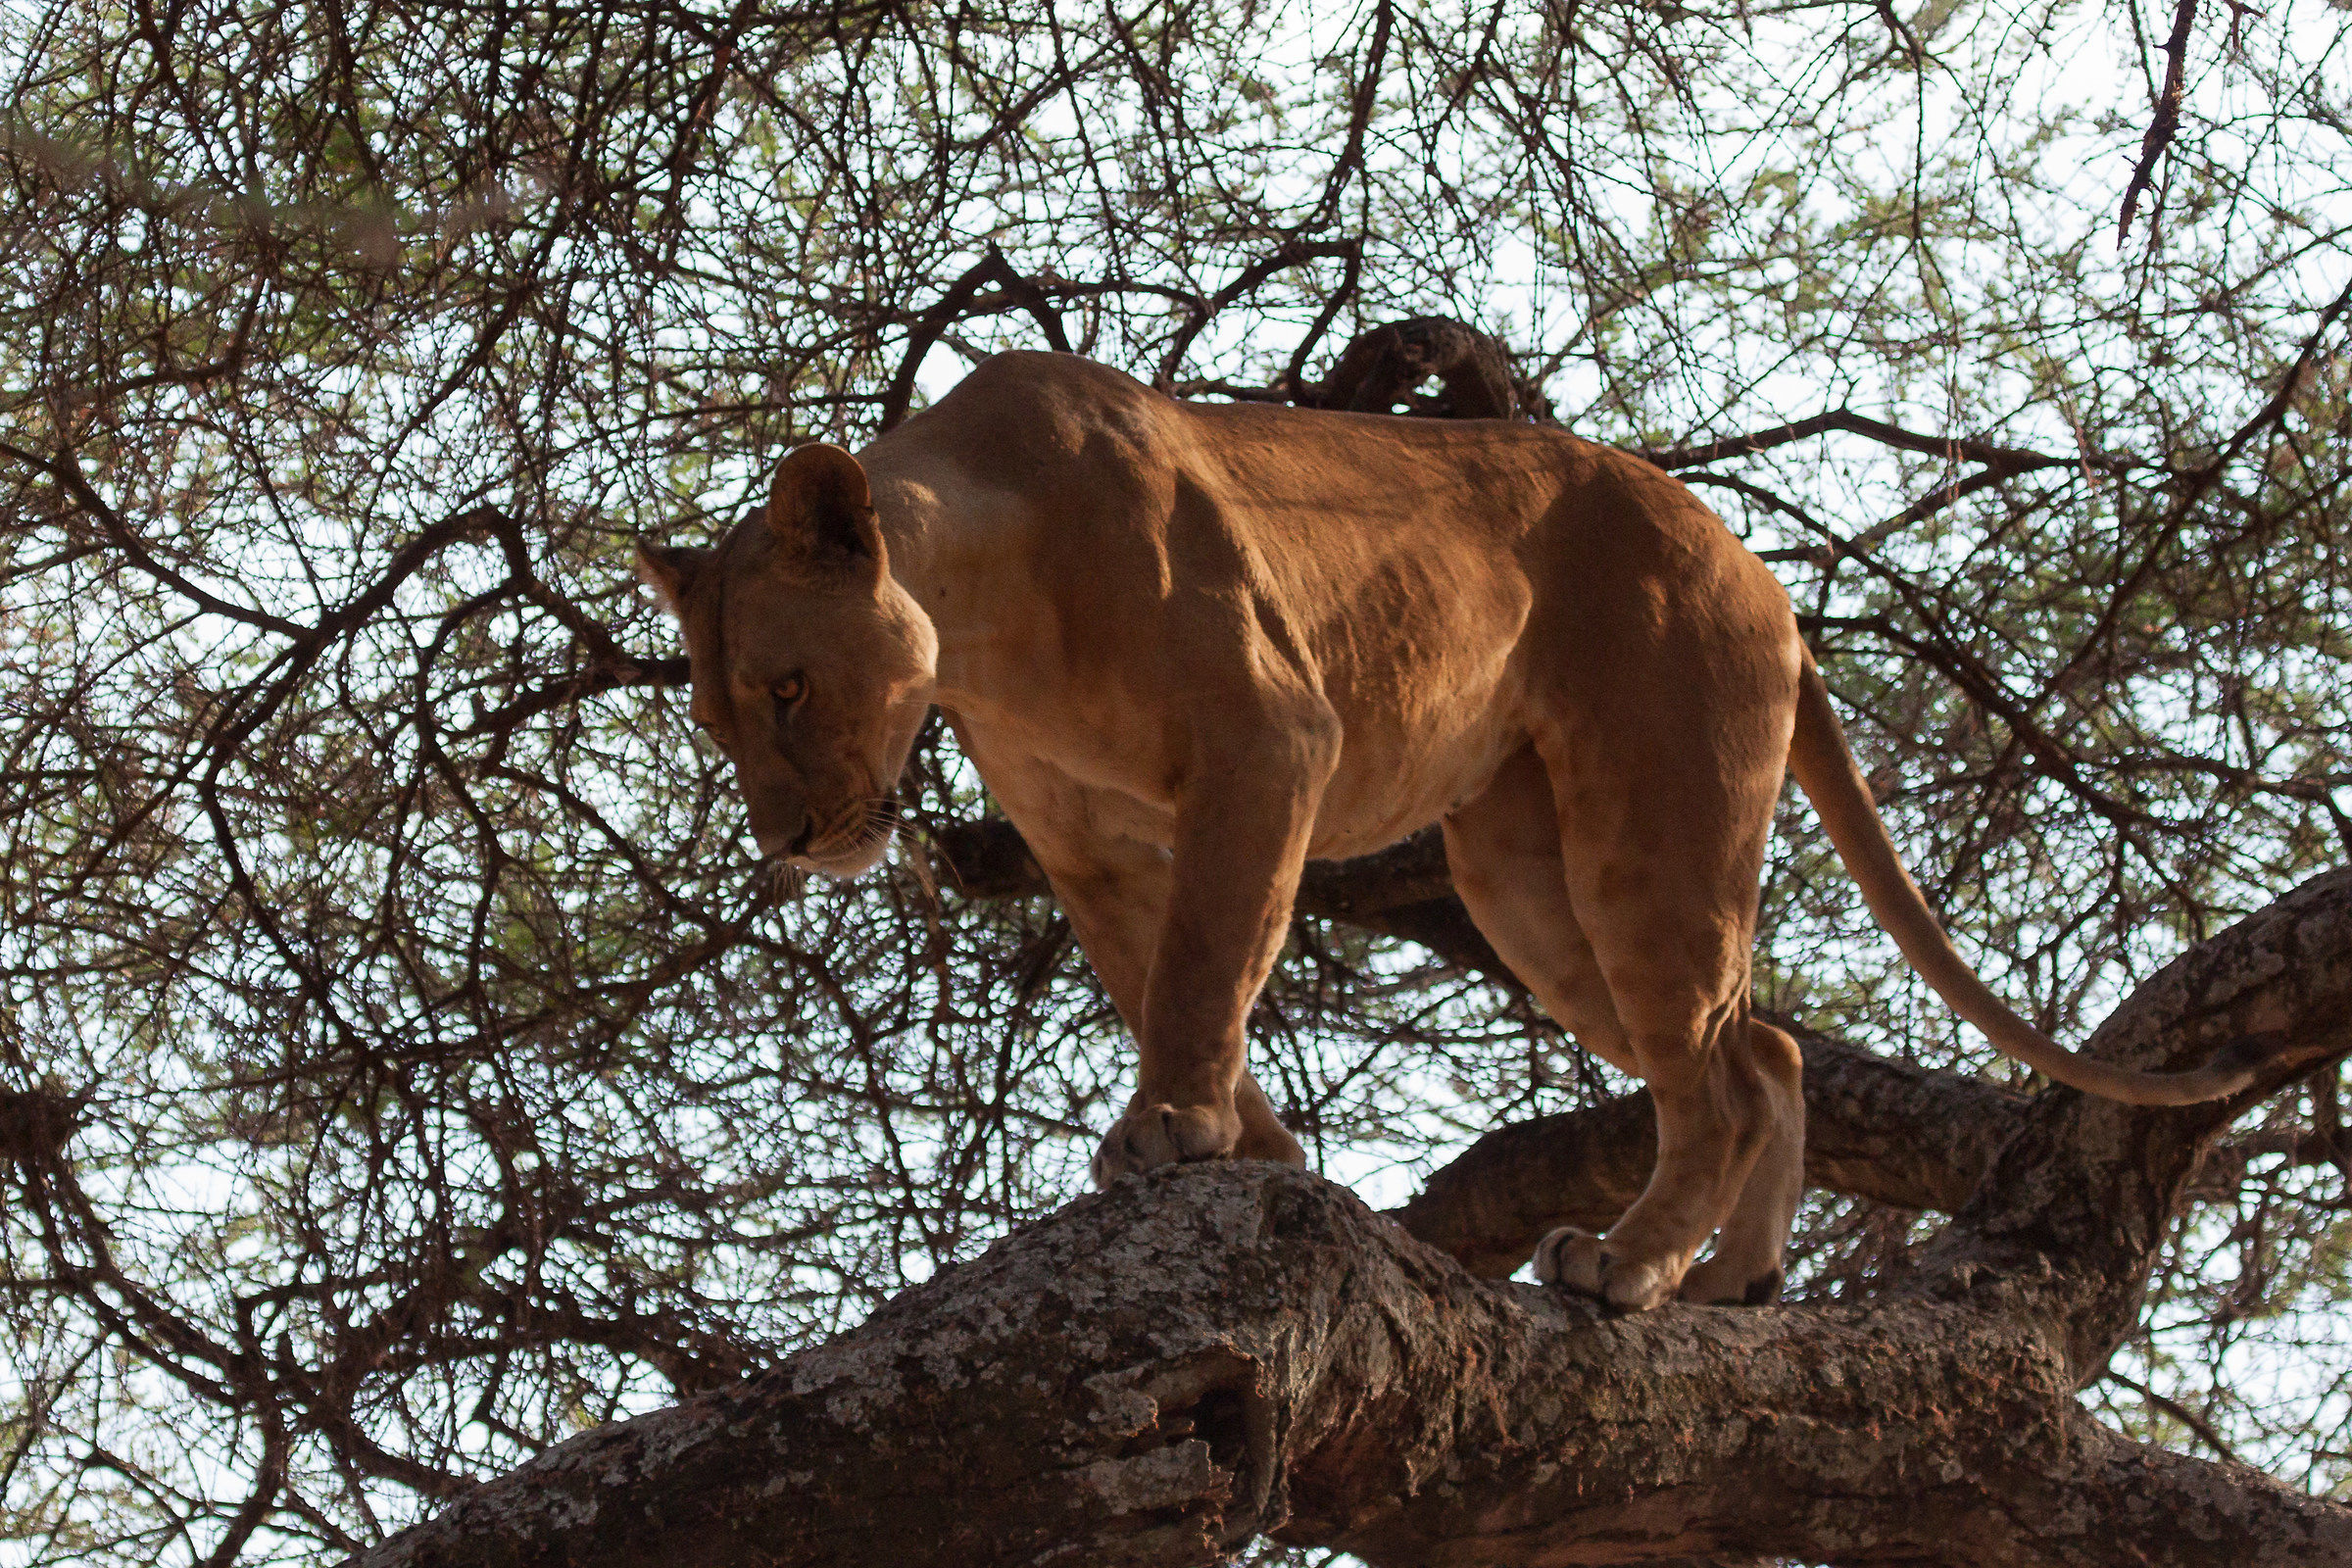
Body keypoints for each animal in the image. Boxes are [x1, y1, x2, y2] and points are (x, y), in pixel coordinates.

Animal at [635, 351, 2253, 1312]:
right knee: (1766, 1050)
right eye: (719, 721)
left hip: (1647, 829)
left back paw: (1625, 1269)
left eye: (788, 686)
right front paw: (1262, 1157)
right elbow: (1165, 977)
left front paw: (1176, 1128)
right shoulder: (1092, 847)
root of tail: (1767, 581)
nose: (788, 842)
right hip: (1525, 885)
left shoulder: (1271, 742)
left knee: (1722, 1076)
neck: (980, 614)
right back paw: (1731, 1278)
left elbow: (1207, 964)